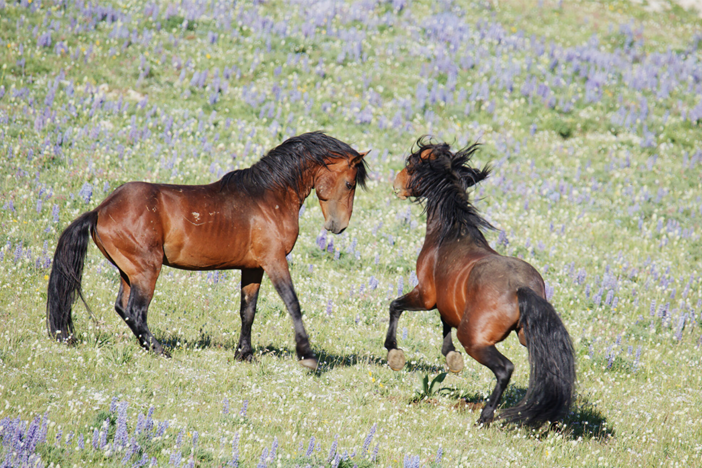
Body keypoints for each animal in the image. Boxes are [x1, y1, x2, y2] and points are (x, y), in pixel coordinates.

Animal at [46, 132, 372, 370]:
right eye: (349, 183)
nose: (338, 226)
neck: (268, 198)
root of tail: (100, 209)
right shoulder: (274, 261)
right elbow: (293, 303)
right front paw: (307, 356)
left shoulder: (252, 267)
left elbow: (247, 311)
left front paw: (244, 354)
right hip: (146, 270)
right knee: (136, 311)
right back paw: (161, 351)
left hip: (129, 272)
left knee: (123, 308)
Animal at [384, 139, 576, 424]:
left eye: (410, 165)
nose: (395, 183)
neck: (449, 234)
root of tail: (521, 288)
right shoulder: (447, 301)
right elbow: (445, 322)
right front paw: (451, 357)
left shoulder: (426, 295)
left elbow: (395, 306)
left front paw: (394, 353)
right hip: (527, 335)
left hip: (474, 340)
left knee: (505, 369)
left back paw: (485, 416)